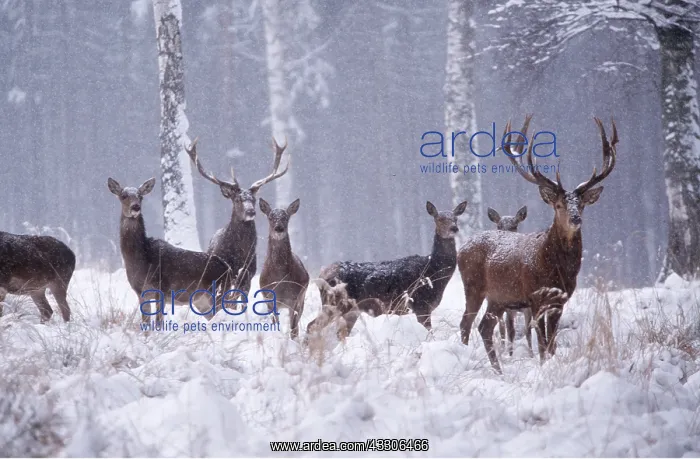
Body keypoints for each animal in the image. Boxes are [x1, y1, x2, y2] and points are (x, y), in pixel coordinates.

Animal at [107, 177, 232, 322]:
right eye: (123, 196)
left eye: (140, 196)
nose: (135, 207)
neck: (142, 259)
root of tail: (228, 268)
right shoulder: (140, 293)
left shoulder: (161, 289)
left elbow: (159, 323)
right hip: (202, 301)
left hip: (219, 293)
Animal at [185, 138, 289, 306]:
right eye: (238, 200)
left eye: (253, 199)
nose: (251, 212)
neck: (239, 256)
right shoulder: (224, 275)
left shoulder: (248, 275)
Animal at [258, 198, 309, 339]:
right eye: (270, 217)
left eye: (285, 217)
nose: (279, 228)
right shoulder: (269, 299)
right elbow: (275, 325)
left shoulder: (294, 299)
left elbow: (293, 330)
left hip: (302, 299)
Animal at [310, 201, 468, 335]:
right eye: (439, 219)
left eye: (455, 218)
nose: (454, 228)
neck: (433, 272)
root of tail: (321, 275)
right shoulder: (419, 304)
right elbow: (429, 332)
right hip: (336, 303)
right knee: (312, 326)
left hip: (351, 310)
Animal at [486, 206, 533, 356]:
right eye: (499, 226)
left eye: (514, 226)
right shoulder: (508, 307)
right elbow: (510, 331)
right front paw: (511, 355)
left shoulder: (529, 307)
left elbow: (528, 331)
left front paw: (531, 355)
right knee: (502, 328)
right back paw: (502, 349)